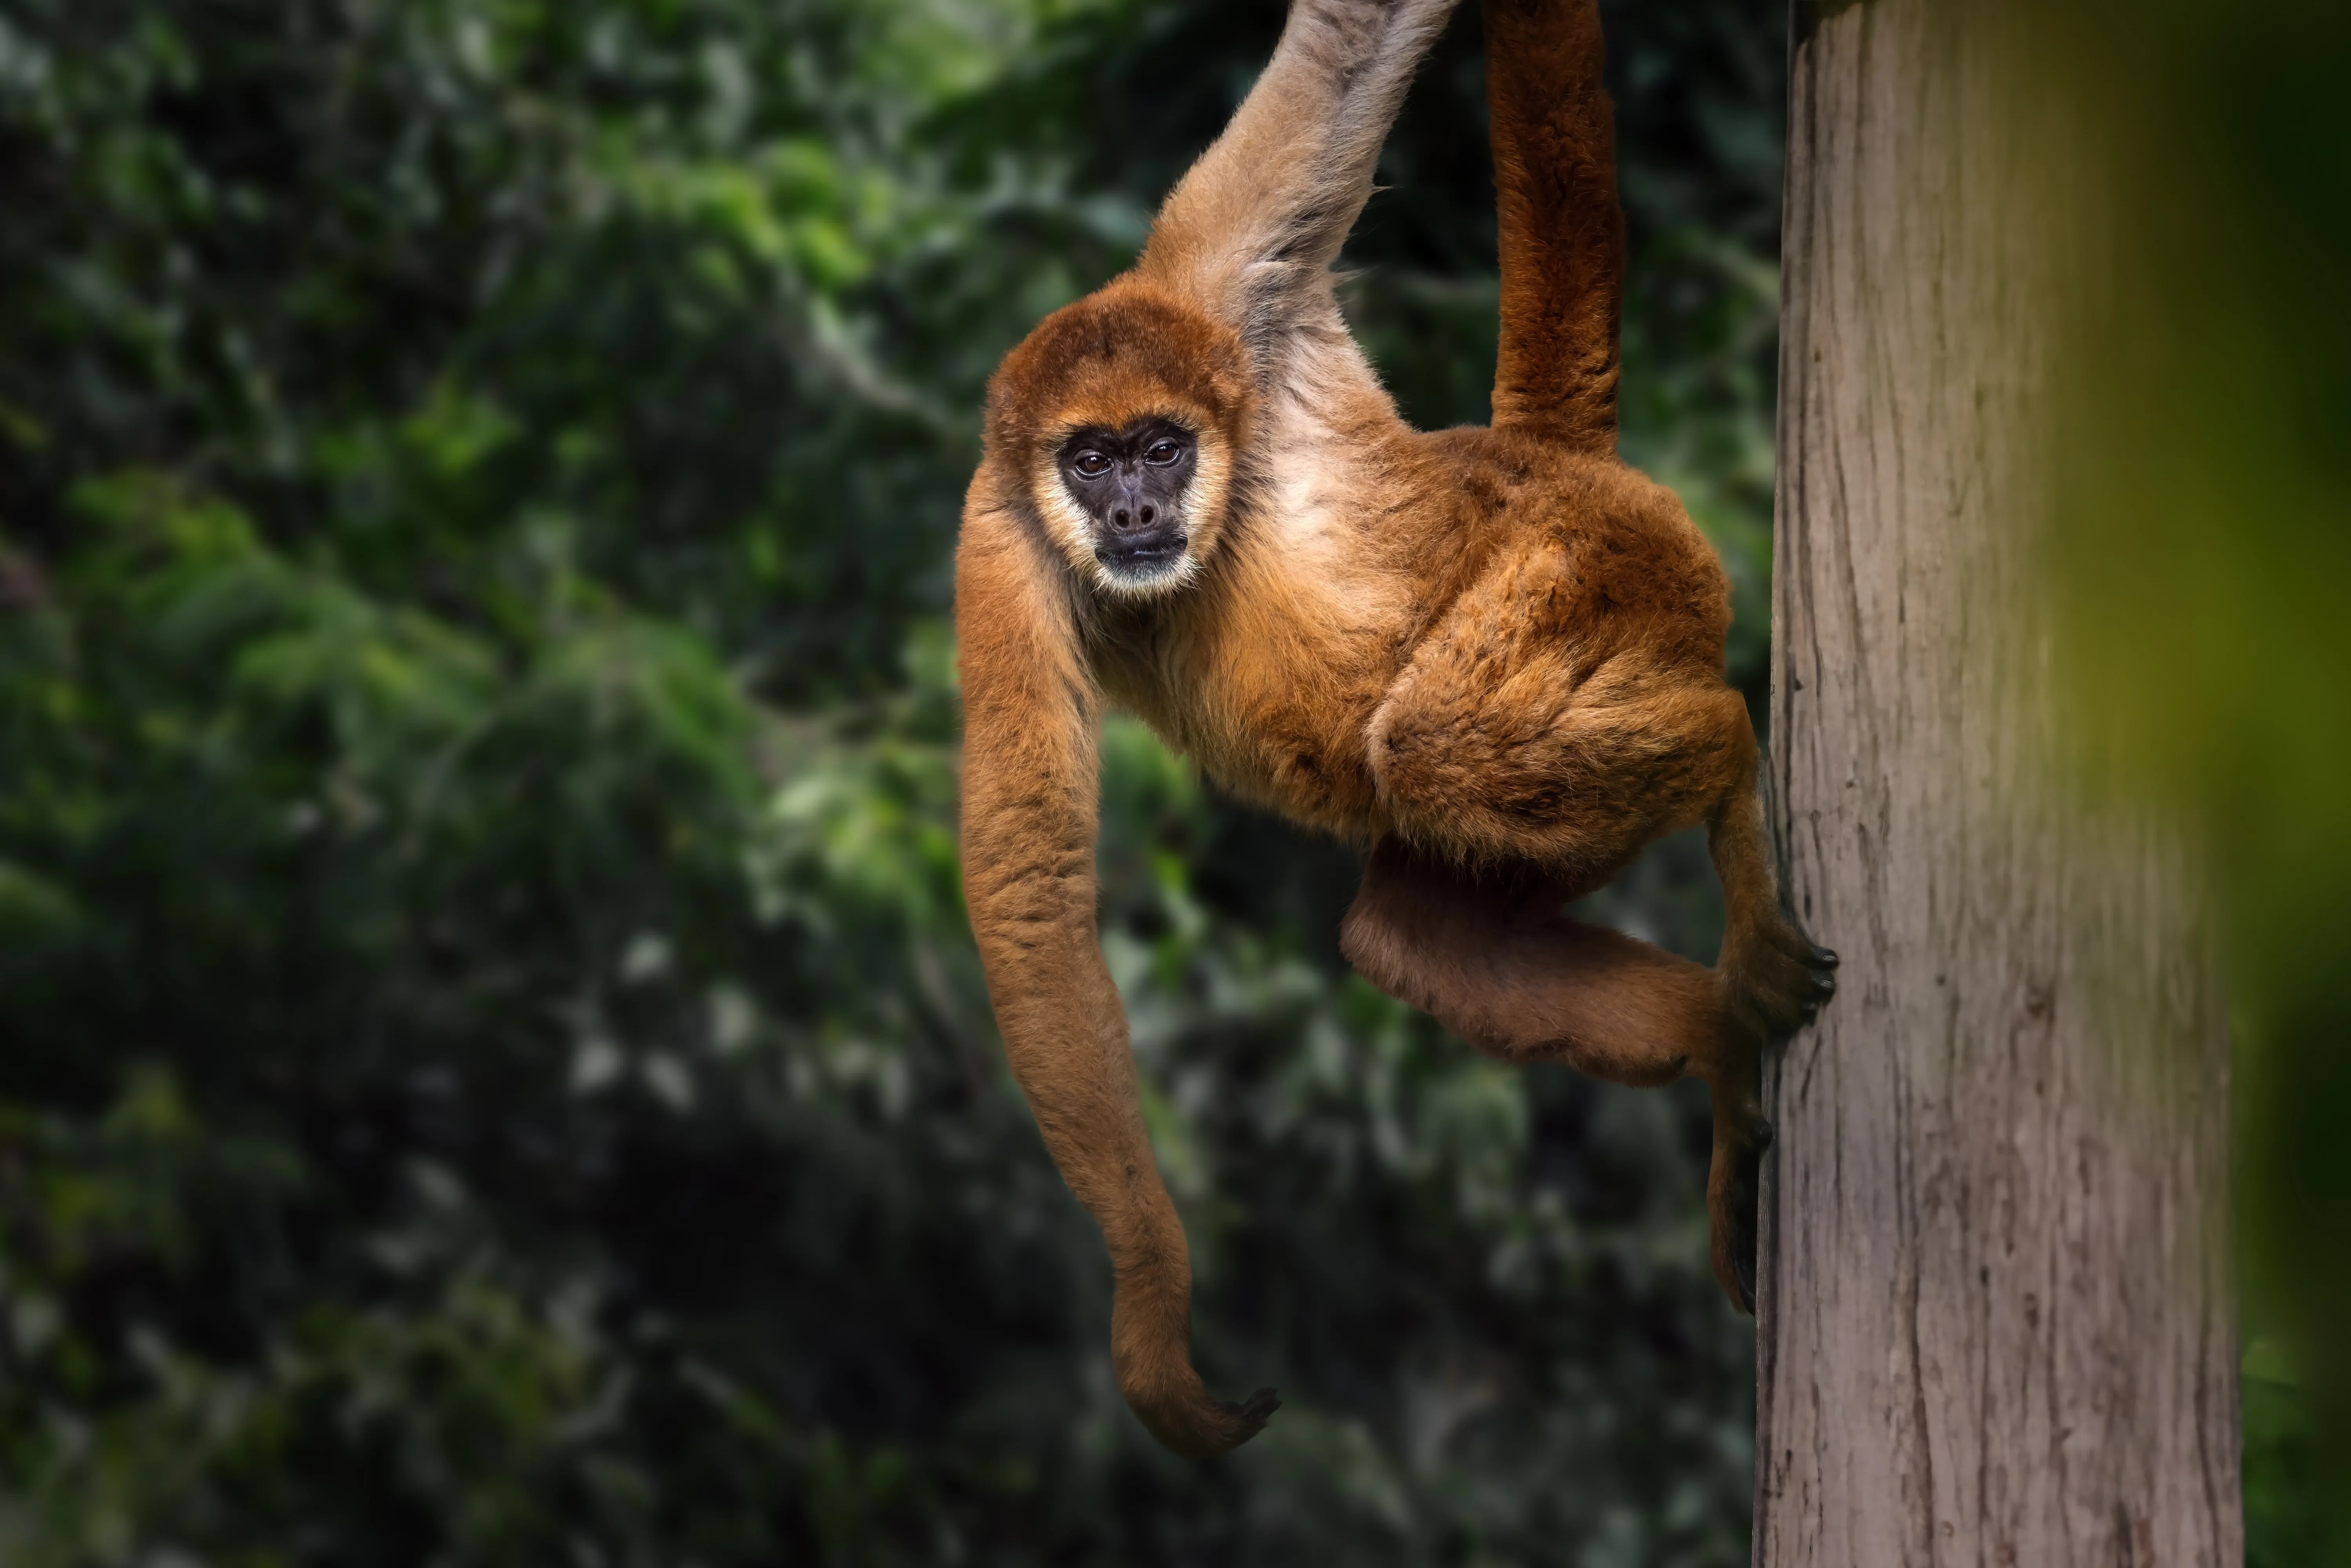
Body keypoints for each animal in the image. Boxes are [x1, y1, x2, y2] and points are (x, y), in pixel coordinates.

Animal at [954, 0, 1837, 1460]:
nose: (1133, 510)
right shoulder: (1000, 533)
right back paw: (1720, 1036)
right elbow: (1027, 882)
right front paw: (1153, 1295)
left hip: (1598, 563)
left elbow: (1348, 44)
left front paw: (1148, 1312)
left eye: (1159, 447)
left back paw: (1721, 749)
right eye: (1089, 460)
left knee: (1440, 747)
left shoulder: (1217, 288)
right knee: (1414, 932)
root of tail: (1545, 463)